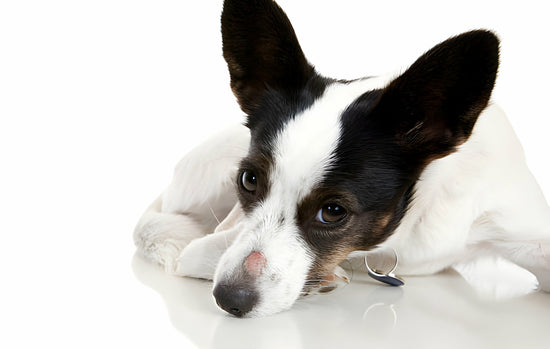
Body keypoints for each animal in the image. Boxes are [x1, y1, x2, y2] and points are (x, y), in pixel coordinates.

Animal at [135, 0, 550, 316]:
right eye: (249, 180)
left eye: (333, 212)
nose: (229, 299)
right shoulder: (214, 244)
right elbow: (204, 253)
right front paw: (330, 277)